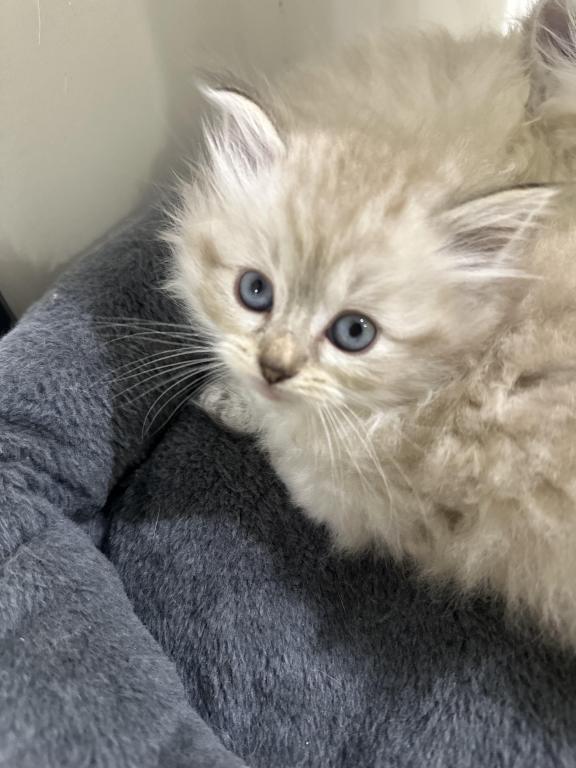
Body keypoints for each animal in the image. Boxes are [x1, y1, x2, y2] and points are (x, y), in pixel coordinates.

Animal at [166, 0, 576, 647]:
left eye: (354, 333)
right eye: (255, 292)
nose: (275, 366)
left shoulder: (352, 496)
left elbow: (281, 441)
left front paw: (229, 402)